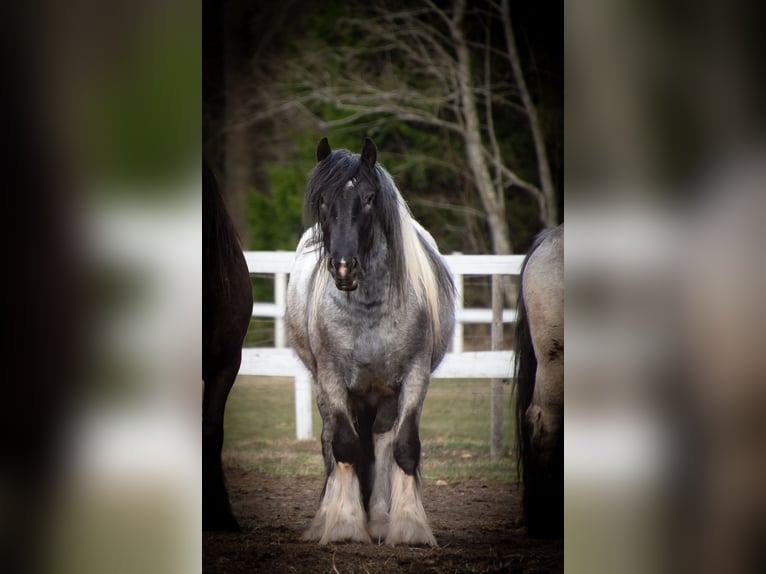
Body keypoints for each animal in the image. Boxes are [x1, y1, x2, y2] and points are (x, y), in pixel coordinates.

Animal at [286, 138, 455, 546]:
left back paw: (379, 518)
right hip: (328, 388)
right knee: (331, 440)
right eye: (323, 201)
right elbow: (344, 446)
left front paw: (409, 526)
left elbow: (404, 447)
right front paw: (345, 524)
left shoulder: (414, 378)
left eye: (368, 198)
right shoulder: (331, 379)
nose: (344, 268)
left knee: (381, 441)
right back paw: (328, 517)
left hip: (384, 394)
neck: (369, 309)